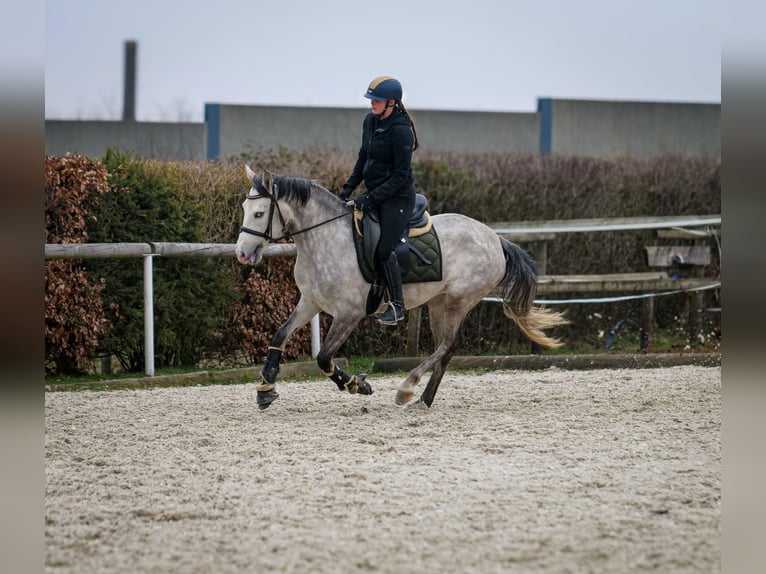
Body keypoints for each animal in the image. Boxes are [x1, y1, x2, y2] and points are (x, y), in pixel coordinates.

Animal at [234, 166, 564, 410]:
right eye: (245, 208)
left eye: (259, 213)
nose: (242, 254)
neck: (324, 240)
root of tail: (495, 238)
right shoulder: (310, 302)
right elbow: (280, 335)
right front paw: (266, 388)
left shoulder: (349, 314)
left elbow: (324, 357)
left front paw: (357, 385)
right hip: (438, 302)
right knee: (445, 348)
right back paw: (423, 400)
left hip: (459, 300)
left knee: (447, 345)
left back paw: (407, 388)